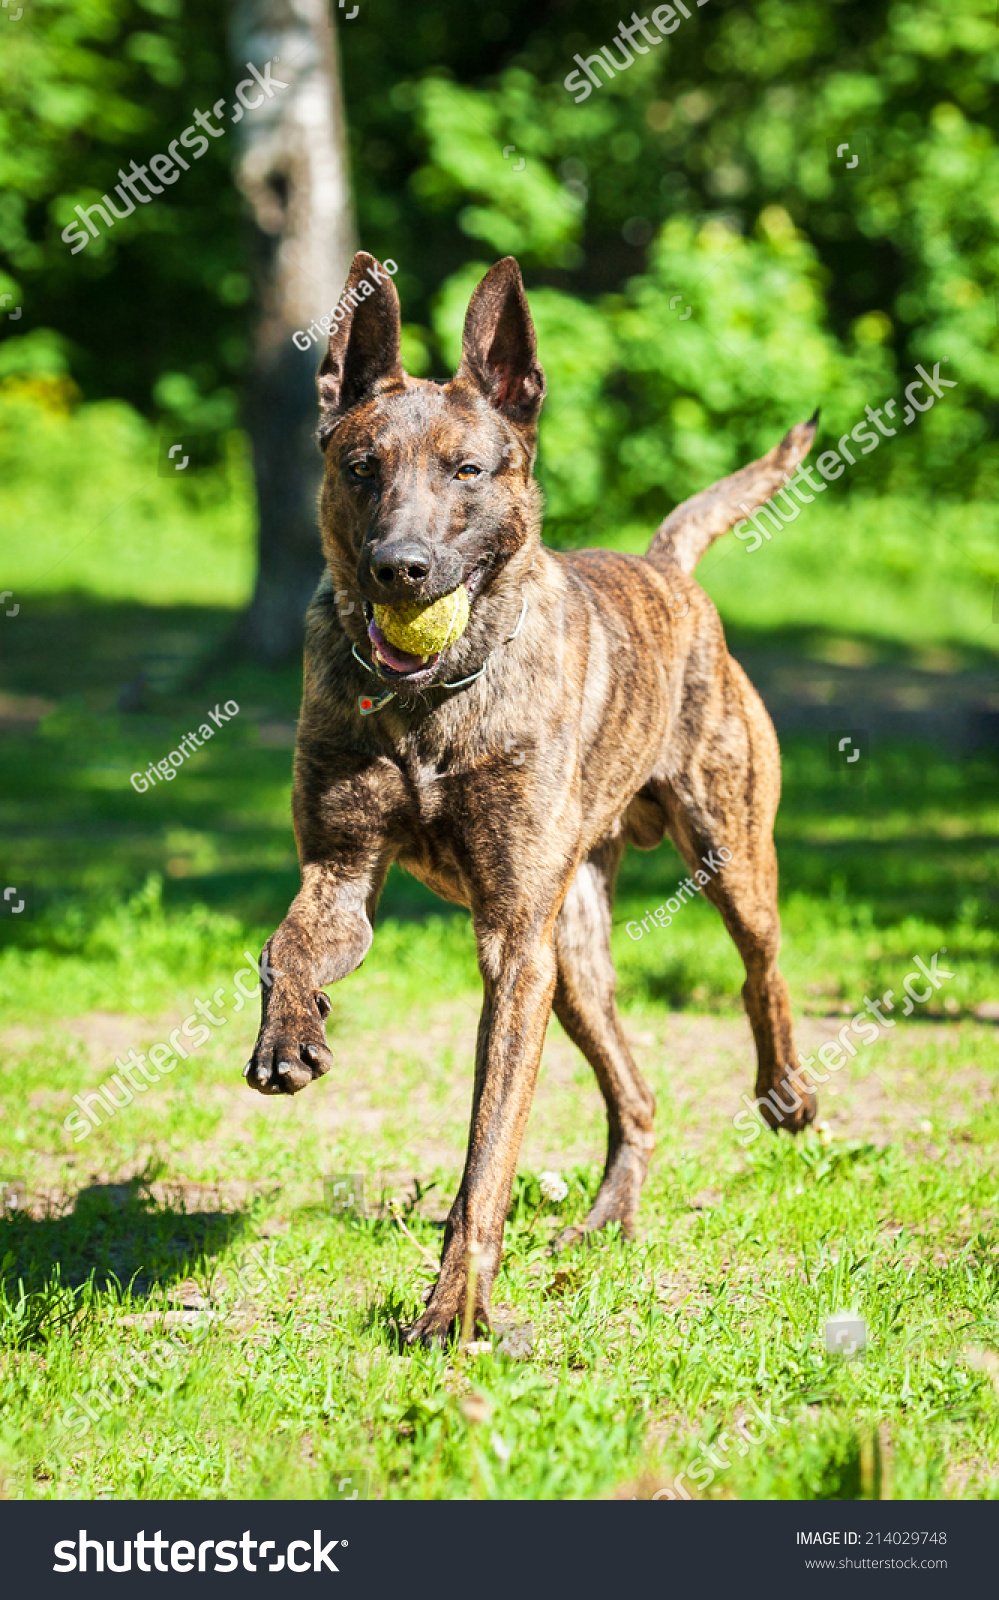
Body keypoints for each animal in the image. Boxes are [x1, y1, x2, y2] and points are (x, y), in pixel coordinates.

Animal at [246, 249, 816, 1344]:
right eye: (361, 466)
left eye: (466, 470)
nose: (399, 568)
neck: (432, 702)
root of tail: (667, 569)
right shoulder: (342, 876)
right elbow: (286, 946)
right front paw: (289, 1035)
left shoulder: (515, 947)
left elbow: (488, 1151)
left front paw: (455, 1307)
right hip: (578, 962)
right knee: (634, 1093)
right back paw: (608, 1220)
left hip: (723, 853)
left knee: (761, 970)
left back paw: (786, 1092)